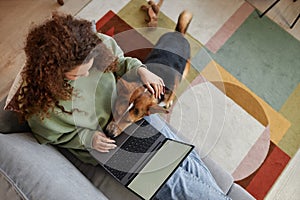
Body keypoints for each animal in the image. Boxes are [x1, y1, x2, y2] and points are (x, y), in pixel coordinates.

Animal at [105, 10, 192, 138]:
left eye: (128, 122)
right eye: (115, 111)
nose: (108, 133)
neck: (148, 89)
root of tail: (178, 34)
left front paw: (168, 102)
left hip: (185, 69)